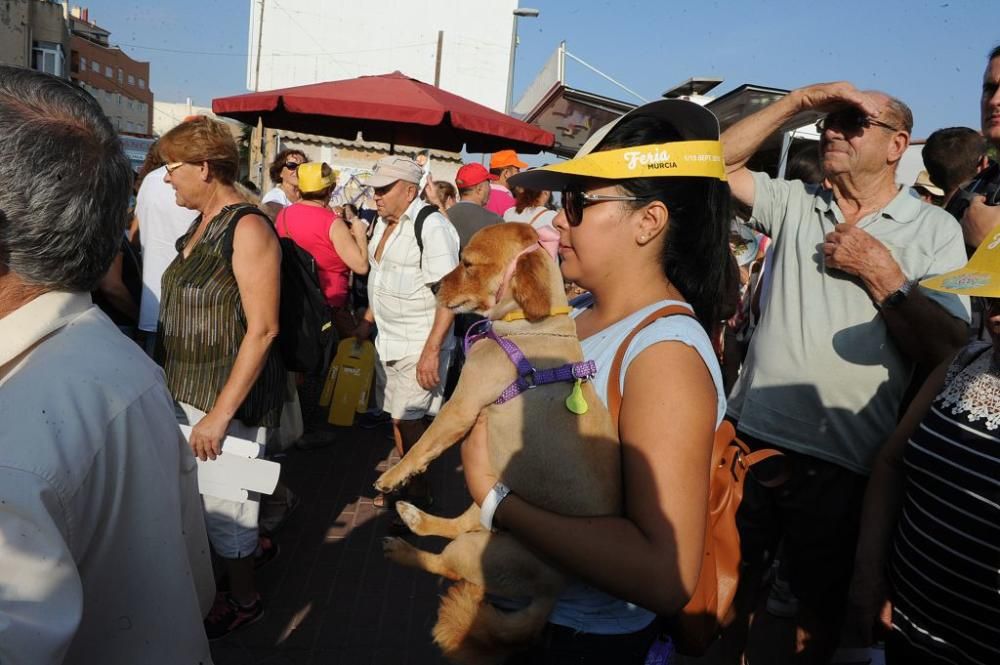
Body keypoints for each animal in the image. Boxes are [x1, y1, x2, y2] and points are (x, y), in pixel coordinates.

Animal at [376, 220, 616, 660]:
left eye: (467, 263)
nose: (432, 285)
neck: (532, 325)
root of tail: (553, 593)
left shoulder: (460, 407)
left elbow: (424, 443)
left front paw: (395, 475)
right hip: (489, 500)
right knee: (457, 525)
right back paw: (413, 517)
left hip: (481, 549)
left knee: (445, 561)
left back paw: (402, 548)